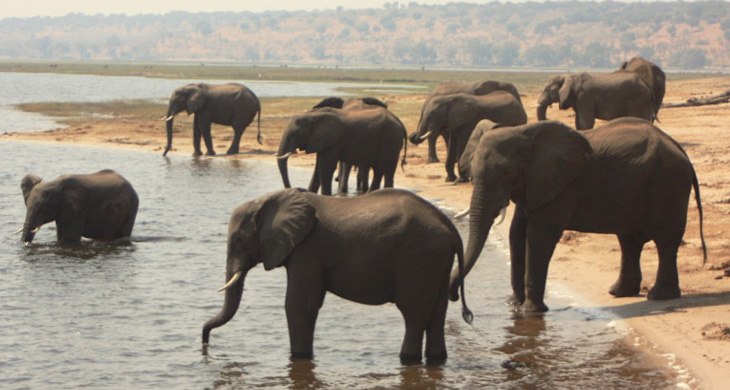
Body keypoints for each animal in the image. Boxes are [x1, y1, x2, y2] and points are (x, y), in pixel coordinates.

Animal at [199, 187, 472, 364]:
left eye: (238, 240)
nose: (204, 342)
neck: (269, 200)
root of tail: (450, 229)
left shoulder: (308, 249)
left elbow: (299, 304)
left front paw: (299, 358)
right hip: (437, 260)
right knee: (436, 313)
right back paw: (436, 361)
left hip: (418, 258)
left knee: (413, 313)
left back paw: (407, 360)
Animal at [276, 103, 406, 197]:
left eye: (296, 134)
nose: (294, 189)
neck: (313, 114)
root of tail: (399, 121)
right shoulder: (321, 141)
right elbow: (318, 168)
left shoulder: (334, 141)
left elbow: (326, 168)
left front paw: (325, 197)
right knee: (378, 170)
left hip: (391, 141)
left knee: (388, 170)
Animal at [446, 117, 704, 312]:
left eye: (507, 172)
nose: (455, 297)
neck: (523, 131)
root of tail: (681, 150)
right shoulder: (534, 184)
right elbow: (516, 233)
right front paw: (513, 306)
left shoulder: (561, 186)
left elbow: (538, 236)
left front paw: (530, 312)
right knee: (629, 241)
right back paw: (619, 293)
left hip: (668, 184)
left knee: (665, 241)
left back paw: (658, 297)